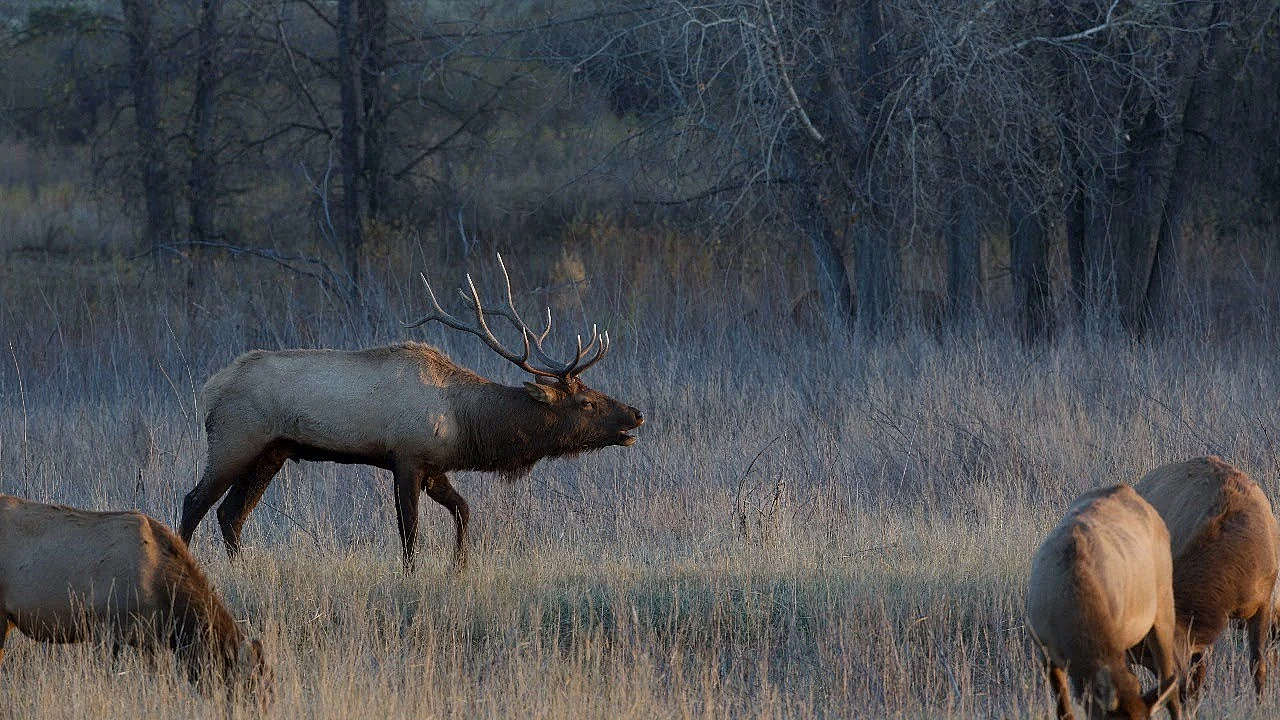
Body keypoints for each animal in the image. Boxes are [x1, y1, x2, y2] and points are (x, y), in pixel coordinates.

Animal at [179, 254, 644, 571]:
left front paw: (459, 567)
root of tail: (210, 389)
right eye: (586, 402)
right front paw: (413, 575)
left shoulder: (435, 468)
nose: (636, 414)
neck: (464, 425)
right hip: (234, 441)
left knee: (231, 514)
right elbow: (410, 533)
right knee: (195, 501)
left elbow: (463, 510)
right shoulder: (406, 458)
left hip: (271, 453)